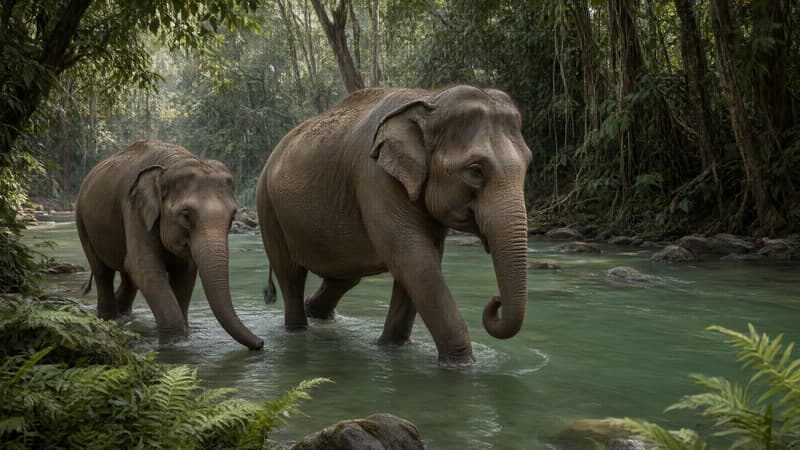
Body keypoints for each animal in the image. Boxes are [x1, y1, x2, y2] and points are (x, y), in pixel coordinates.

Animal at [76, 140, 264, 350]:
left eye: (232, 217)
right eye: (186, 215)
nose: (261, 342)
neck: (169, 166)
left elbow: (185, 273)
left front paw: (183, 338)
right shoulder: (134, 211)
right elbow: (146, 269)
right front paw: (175, 343)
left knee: (127, 278)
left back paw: (123, 316)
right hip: (82, 220)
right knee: (103, 273)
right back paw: (108, 318)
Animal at [256, 85, 532, 363]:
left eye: (528, 164)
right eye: (476, 170)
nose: (495, 301)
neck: (430, 100)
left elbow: (419, 263)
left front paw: (392, 347)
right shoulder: (375, 178)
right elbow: (414, 260)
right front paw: (463, 364)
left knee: (344, 276)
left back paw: (317, 314)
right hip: (267, 205)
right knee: (291, 275)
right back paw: (297, 329)